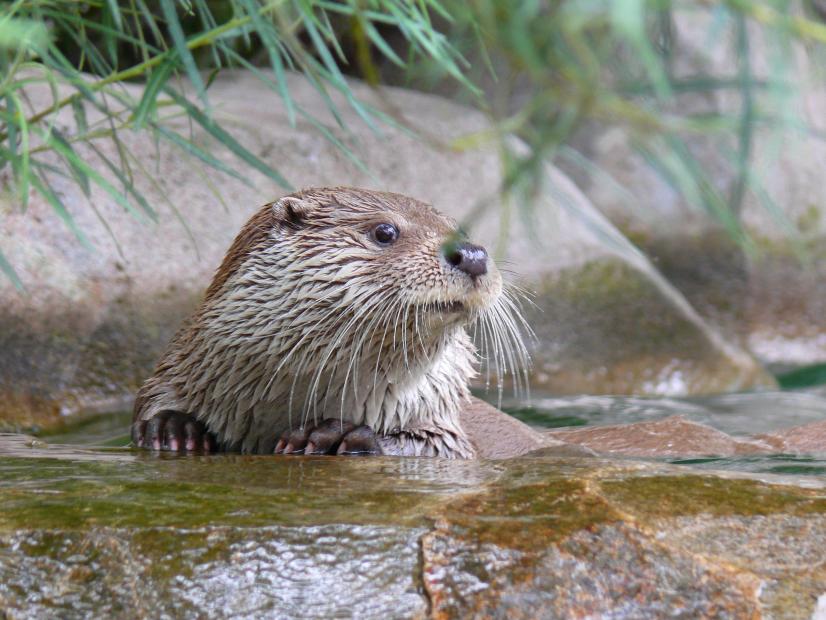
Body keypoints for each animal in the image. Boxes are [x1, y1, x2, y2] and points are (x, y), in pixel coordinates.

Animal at [130, 186, 540, 458]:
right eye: (385, 231)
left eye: (465, 233)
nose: (472, 254)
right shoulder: (185, 362)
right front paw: (172, 425)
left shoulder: (444, 423)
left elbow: (439, 445)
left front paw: (335, 435)